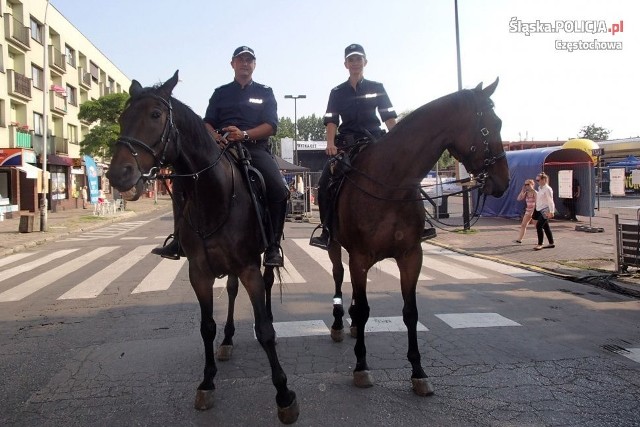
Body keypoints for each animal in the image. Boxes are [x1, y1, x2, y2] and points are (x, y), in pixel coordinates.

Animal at [107, 72, 300, 426]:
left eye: (156, 114)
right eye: (121, 117)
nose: (119, 173)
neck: (214, 195)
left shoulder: (250, 267)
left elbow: (264, 329)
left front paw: (283, 394)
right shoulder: (199, 272)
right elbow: (206, 327)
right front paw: (207, 382)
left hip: (264, 256)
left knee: (266, 287)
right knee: (233, 292)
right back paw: (228, 340)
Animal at [328, 79, 508, 394]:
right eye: (492, 125)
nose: (505, 180)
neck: (390, 183)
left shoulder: (411, 256)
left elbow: (410, 312)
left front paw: (418, 371)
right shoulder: (360, 258)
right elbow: (364, 310)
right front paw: (361, 366)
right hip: (335, 247)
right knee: (339, 276)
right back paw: (339, 324)